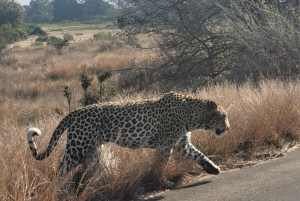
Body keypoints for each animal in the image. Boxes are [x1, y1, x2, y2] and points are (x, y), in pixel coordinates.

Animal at [27, 92, 230, 185]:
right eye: (223, 116)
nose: (228, 128)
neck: (193, 117)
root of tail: (75, 112)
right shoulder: (166, 145)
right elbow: (161, 163)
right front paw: (162, 181)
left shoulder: (182, 143)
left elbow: (199, 154)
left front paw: (213, 169)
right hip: (77, 147)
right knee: (61, 169)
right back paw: (55, 188)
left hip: (92, 151)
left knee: (87, 170)